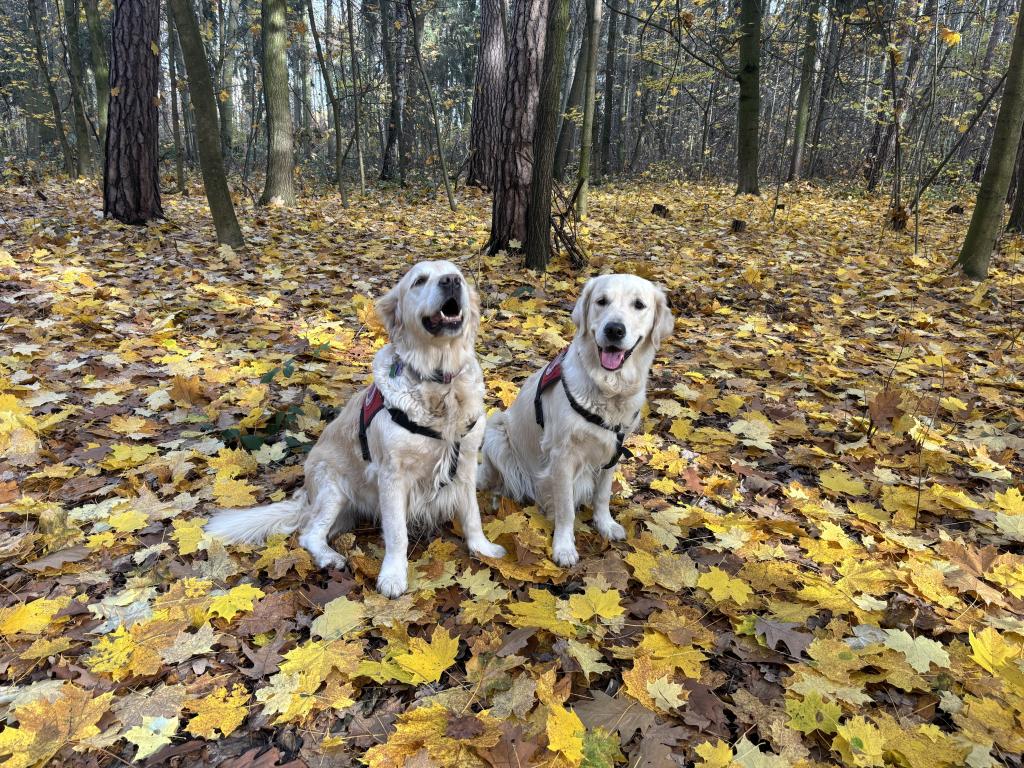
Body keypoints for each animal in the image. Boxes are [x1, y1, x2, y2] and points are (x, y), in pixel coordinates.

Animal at [205, 260, 506, 597]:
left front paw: (483, 548)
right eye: (420, 281)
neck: (440, 383)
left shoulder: (464, 464)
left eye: (460, 278)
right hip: (332, 488)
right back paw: (329, 558)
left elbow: (472, 516)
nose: (451, 281)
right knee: (309, 533)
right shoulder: (392, 476)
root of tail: (306, 498)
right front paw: (393, 576)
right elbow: (397, 534)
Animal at [477, 273, 674, 566]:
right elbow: (566, 508)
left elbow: (602, 495)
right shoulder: (562, 456)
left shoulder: (613, 451)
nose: (614, 330)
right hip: (496, 431)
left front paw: (605, 524)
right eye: (601, 301)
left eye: (639, 305)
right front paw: (564, 547)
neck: (607, 388)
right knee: (496, 481)